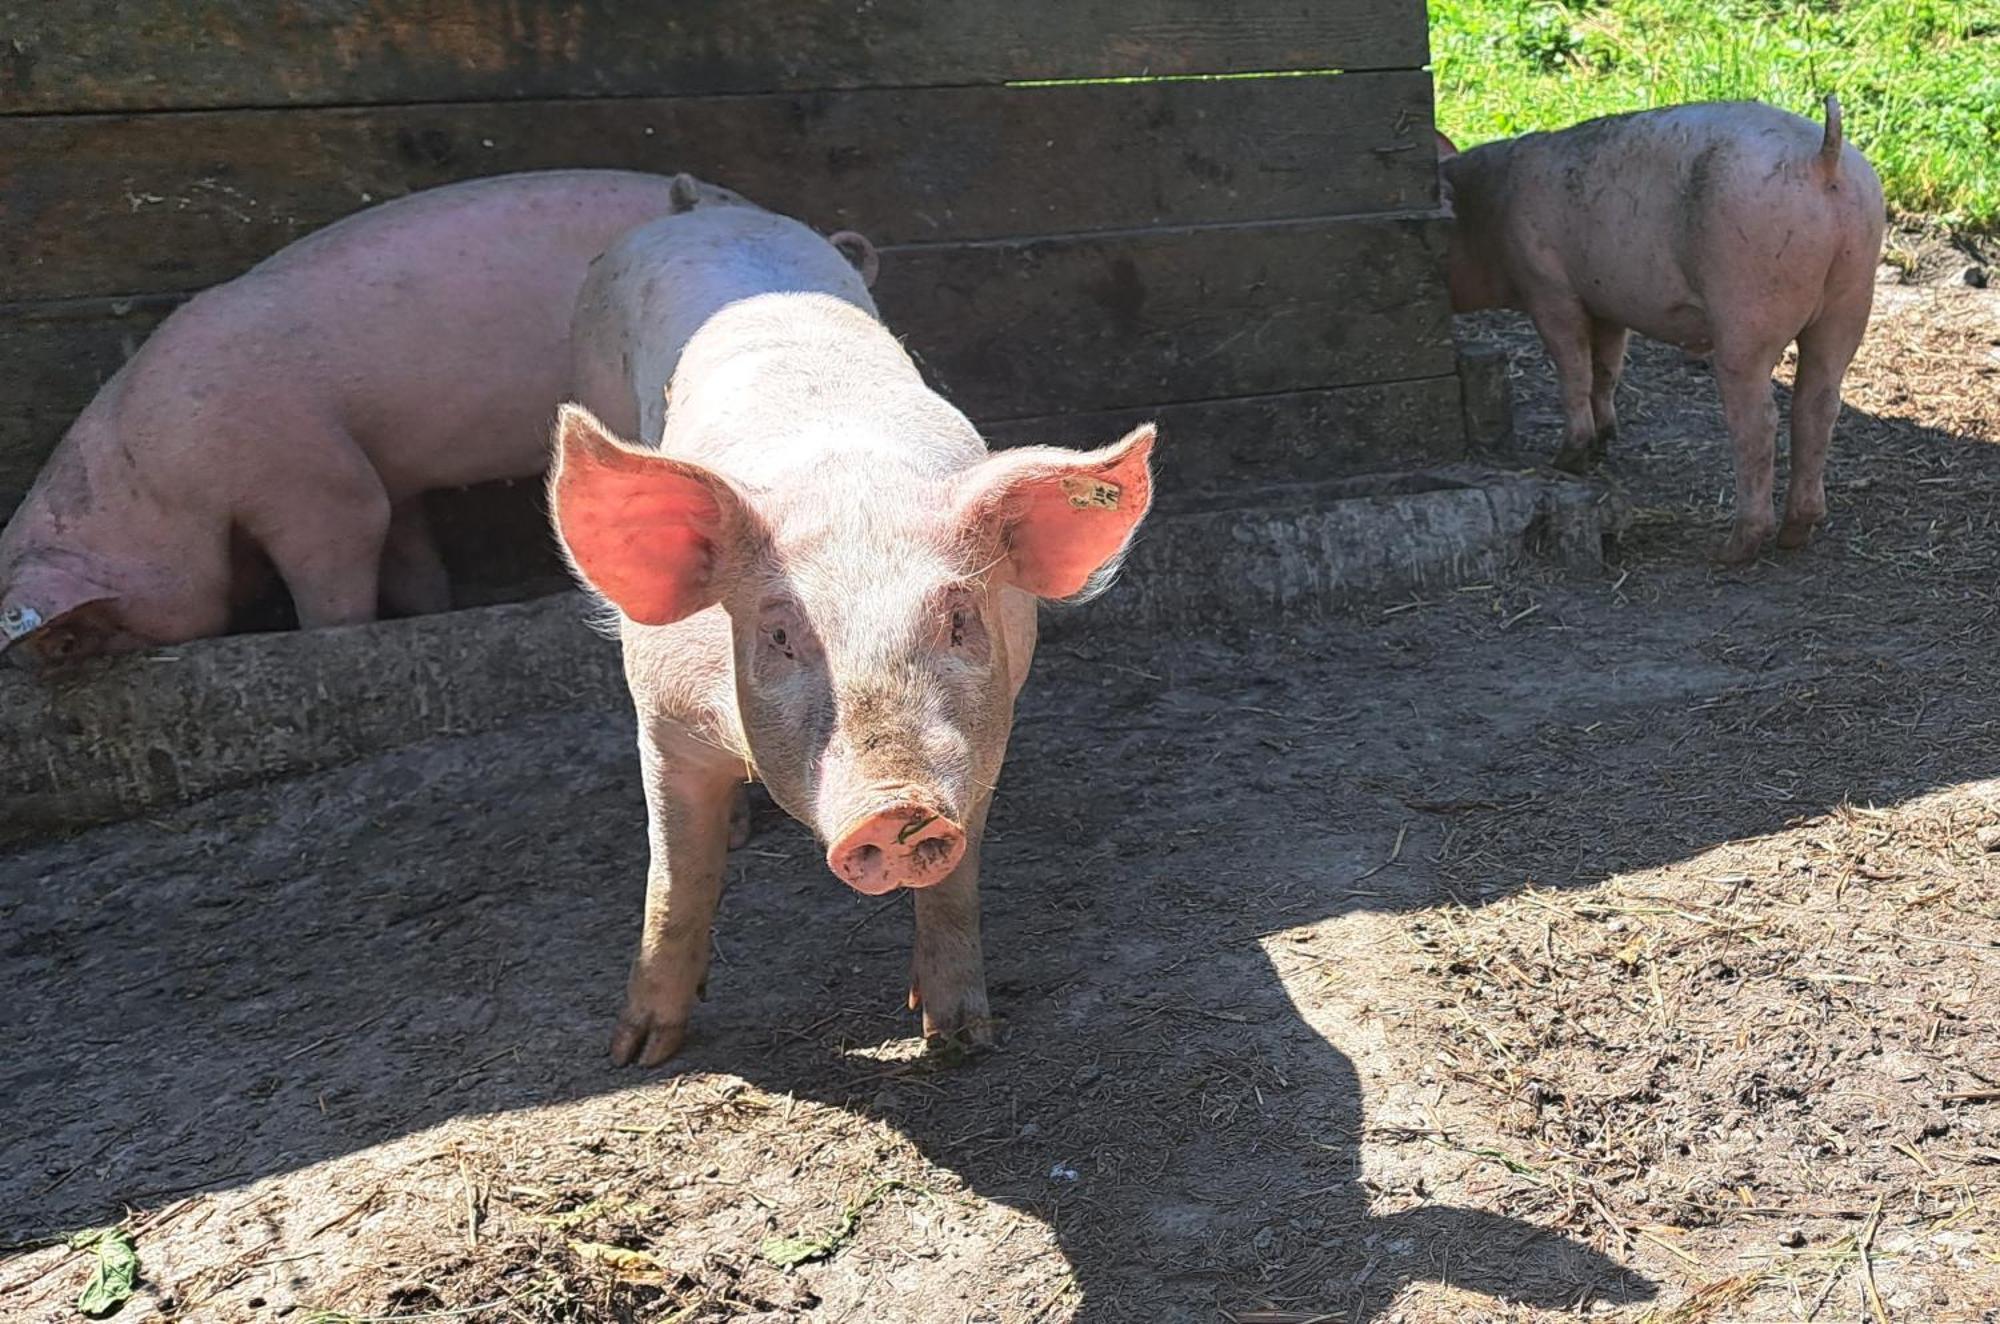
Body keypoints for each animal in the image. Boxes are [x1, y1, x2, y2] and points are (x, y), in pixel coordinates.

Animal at [0, 171, 772, 668]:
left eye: (69, 638)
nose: (48, 658)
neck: (154, 477)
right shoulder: (388, 471)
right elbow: (407, 552)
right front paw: (434, 610)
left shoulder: (310, 470)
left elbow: (344, 547)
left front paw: (331, 634)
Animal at [564, 184, 1160, 1072]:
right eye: (780, 636)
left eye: (958, 619)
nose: (896, 806)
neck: (848, 490)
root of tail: (700, 203)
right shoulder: (662, 719)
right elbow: (676, 882)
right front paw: (636, 1054)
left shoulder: (986, 734)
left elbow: (955, 887)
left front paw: (958, 1037)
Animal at [1440, 96, 1888, 564]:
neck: (1491, 211)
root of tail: (1821, 157)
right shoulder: (1607, 305)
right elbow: (1606, 369)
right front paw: (1605, 441)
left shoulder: (1549, 288)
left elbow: (1574, 372)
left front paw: (1565, 462)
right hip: (1852, 292)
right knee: (1819, 404)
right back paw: (1795, 534)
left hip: (1748, 304)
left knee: (1759, 421)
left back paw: (1730, 550)